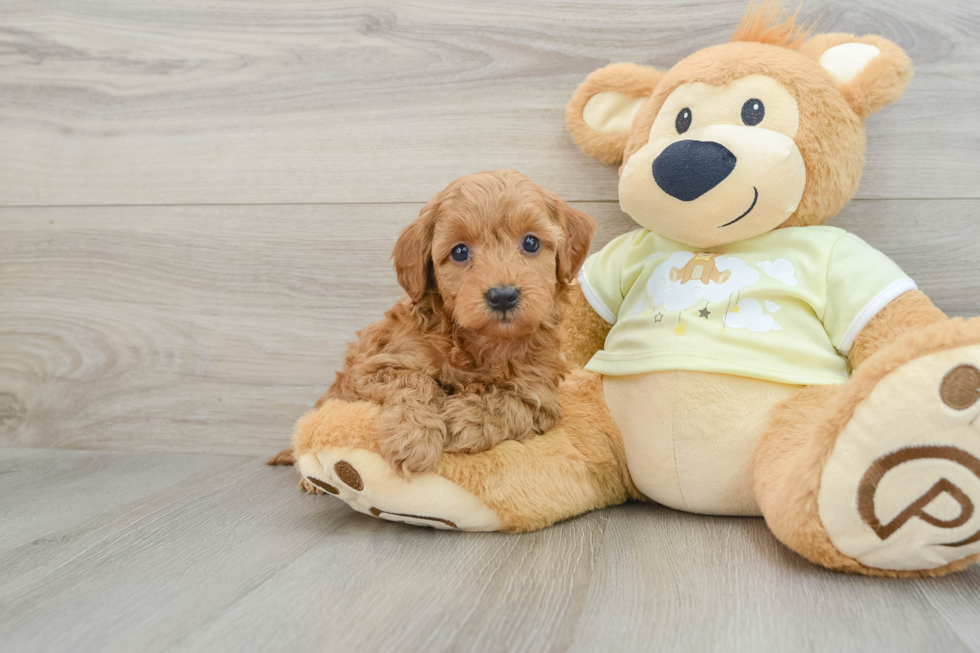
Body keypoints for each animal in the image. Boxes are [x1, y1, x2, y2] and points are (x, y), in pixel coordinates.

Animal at [314, 168, 596, 474]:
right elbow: (414, 379)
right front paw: (413, 437)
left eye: (531, 243)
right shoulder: (369, 369)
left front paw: (462, 420)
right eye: (460, 252)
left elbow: (510, 403)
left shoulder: (541, 394)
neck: (482, 344)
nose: (503, 296)